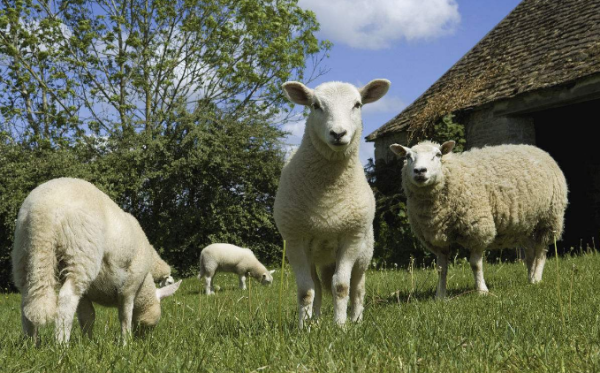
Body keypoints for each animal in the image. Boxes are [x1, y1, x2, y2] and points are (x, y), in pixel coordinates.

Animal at [11, 177, 180, 342]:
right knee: (66, 299)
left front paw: (88, 342)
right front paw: (126, 342)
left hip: (24, 253)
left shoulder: (87, 294)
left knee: (27, 298)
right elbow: (125, 316)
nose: (144, 340)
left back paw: (31, 343)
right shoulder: (129, 286)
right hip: (81, 253)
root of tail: (43, 210)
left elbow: (88, 316)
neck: (144, 285)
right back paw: (61, 344)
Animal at [274, 78, 392, 326]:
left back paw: (356, 319)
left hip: (364, 253)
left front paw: (340, 326)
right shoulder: (295, 240)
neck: (328, 196)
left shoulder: (351, 237)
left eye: (357, 104)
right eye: (315, 106)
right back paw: (316, 321)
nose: (338, 133)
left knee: (357, 288)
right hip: (315, 255)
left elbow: (341, 286)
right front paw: (304, 327)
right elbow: (306, 290)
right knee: (318, 286)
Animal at [390, 141, 568, 298]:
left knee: (541, 250)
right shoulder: (437, 240)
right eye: (408, 156)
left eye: (438, 155)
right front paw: (439, 296)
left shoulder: (478, 229)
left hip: (549, 218)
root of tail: (537, 149)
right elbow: (441, 269)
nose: (420, 171)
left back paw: (536, 278)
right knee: (531, 252)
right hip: (526, 225)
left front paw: (482, 291)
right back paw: (530, 277)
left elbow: (475, 264)